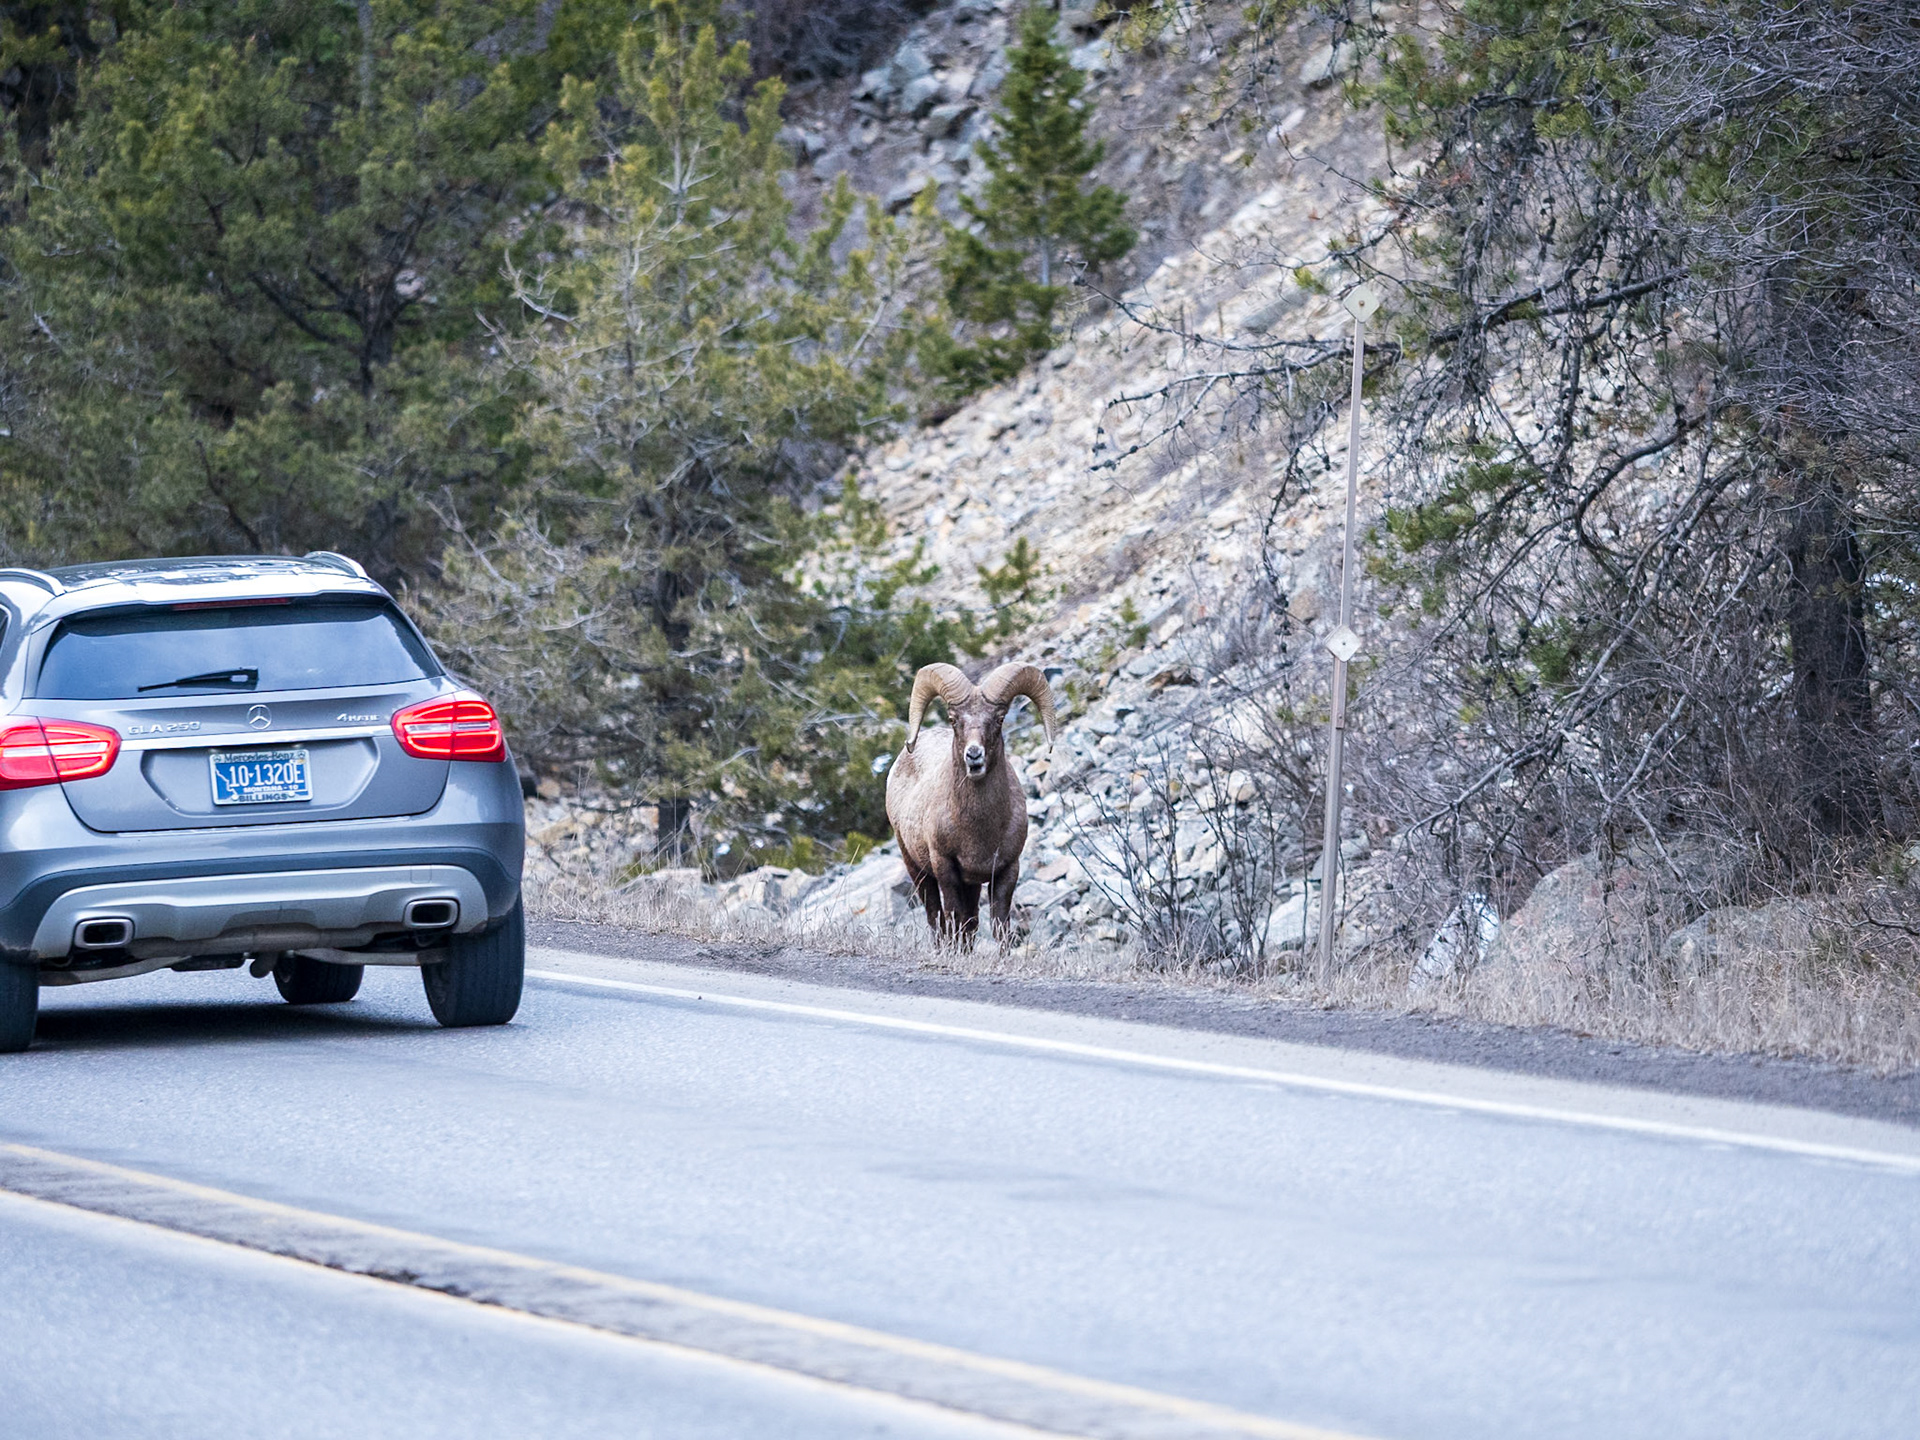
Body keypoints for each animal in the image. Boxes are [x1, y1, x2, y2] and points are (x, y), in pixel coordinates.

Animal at [885, 661, 1059, 946]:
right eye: (954, 720)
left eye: (999, 719)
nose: (974, 756)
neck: (977, 831)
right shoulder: (945, 868)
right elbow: (954, 920)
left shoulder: (1005, 871)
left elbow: (998, 926)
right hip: (916, 869)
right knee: (936, 919)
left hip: (972, 885)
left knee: (970, 924)